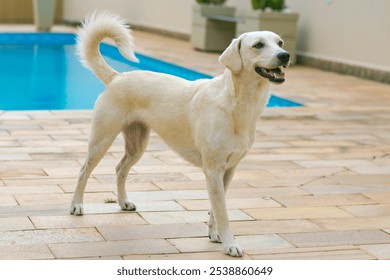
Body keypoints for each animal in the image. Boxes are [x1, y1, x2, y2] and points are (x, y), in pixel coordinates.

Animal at [70, 10, 290, 258]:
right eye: (258, 45)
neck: (236, 103)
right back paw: (76, 205)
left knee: (120, 169)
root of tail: (117, 77)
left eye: (280, 43)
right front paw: (230, 244)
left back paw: (123, 202)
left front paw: (214, 236)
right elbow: (222, 212)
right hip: (102, 139)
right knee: (83, 171)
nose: (285, 55)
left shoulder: (227, 170)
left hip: (137, 144)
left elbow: (215, 208)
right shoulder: (213, 170)